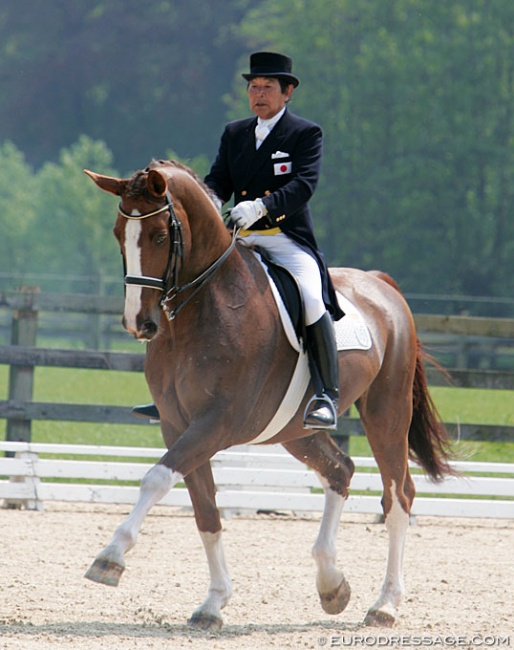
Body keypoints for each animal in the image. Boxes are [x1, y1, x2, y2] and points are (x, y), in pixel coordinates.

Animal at [84, 158, 452, 628]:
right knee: (341, 470)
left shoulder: (216, 423)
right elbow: (205, 511)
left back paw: (384, 603)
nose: (139, 324)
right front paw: (213, 603)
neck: (205, 306)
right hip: (295, 430)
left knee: (398, 496)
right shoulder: (176, 424)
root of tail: (380, 283)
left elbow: (156, 479)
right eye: (118, 234)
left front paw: (110, 558)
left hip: (387, 410)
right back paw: (332, 585)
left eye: (160, 236)